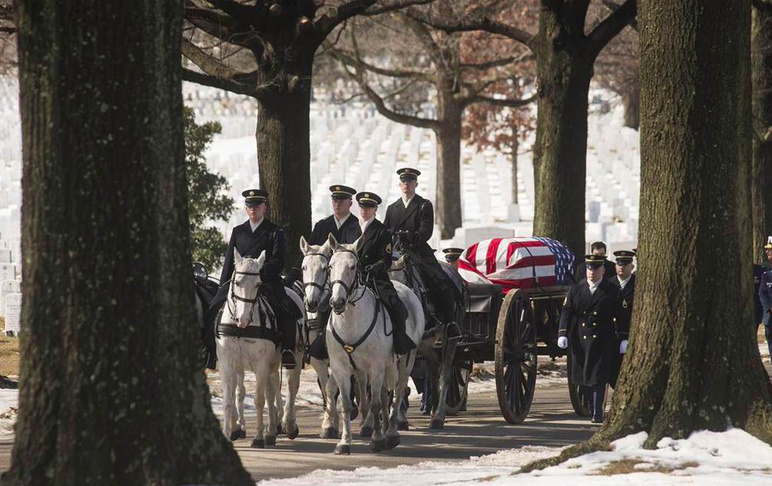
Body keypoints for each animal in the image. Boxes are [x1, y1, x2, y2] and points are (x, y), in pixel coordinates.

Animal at [216, 251, 306, 448]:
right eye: (237, 282)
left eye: (258, 284)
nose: (242, 319)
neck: (241, 330)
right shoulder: (227, 364)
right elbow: (228, 401)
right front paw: (229, 433)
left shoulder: (261, 364)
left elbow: (258, 399)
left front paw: (257, 437)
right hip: (271, 365)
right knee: (271, 391)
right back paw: (271, 431)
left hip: (294, 356)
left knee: (291, 386)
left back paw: (289, 425)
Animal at [324, 234, 426, 454]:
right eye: (330, 266)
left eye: (353, 266)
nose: (337, 302)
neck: (351, 322)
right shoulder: (340, 368)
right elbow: (346, 404)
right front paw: (344, 443)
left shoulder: (376, 366)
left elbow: (376, 403)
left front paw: (377, 439)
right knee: (387, 394)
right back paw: (386, 428)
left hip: (406, 359)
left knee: (398, 391)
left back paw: (392, 432)